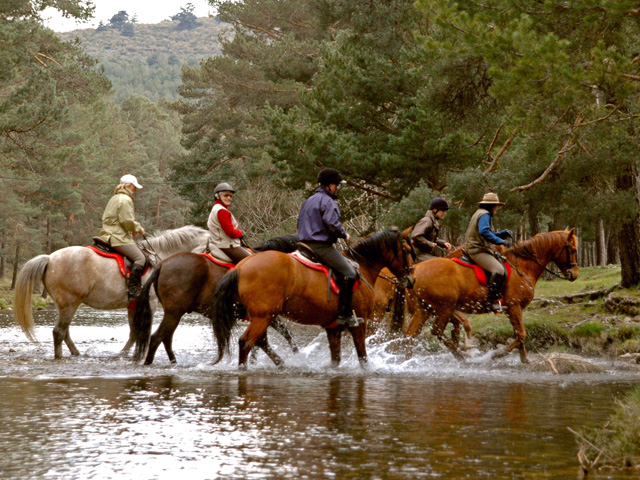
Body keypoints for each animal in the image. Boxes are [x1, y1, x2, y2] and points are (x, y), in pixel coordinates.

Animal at [13, 225, 210, 359]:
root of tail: (50, 258)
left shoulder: (133, 305)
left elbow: (133, 332)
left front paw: (124, 353)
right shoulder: (150, 304)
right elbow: (143, 331)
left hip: (63, 305)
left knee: (64, 332)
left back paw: (76, 353)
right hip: (70, 304)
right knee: (59, 332)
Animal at [131, 234, 301, 365]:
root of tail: (161, 264)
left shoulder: (264, 315)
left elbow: (277, 335)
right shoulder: (266, 313)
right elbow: (283, 334)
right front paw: (296, 355)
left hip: (174, 314)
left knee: (166, 339)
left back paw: (174, 363)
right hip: (173, 313)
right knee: (157, 338)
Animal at [209, 228, 415, 369]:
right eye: (406, 250)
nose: (412, 279)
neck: (363, 267)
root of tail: (240, 267)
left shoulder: (333, 328)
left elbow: (335, 359)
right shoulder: (360, 324)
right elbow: (363, 358)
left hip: (261, 317)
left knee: (260, 341)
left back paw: (282, 364)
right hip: (263, 317)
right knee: (246, 342)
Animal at [405, 229, 579, 363]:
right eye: (573, 250)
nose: (574, 275)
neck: (523, 267)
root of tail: (415, 270)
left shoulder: (515, 309)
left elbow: (519, 335)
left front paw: (524, 360)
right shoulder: (514, 307)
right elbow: (522, 334)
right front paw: (497, 354)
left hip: (424, 309)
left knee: (410, 335)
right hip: (444, 308)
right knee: (437, 331)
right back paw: (461, 357)